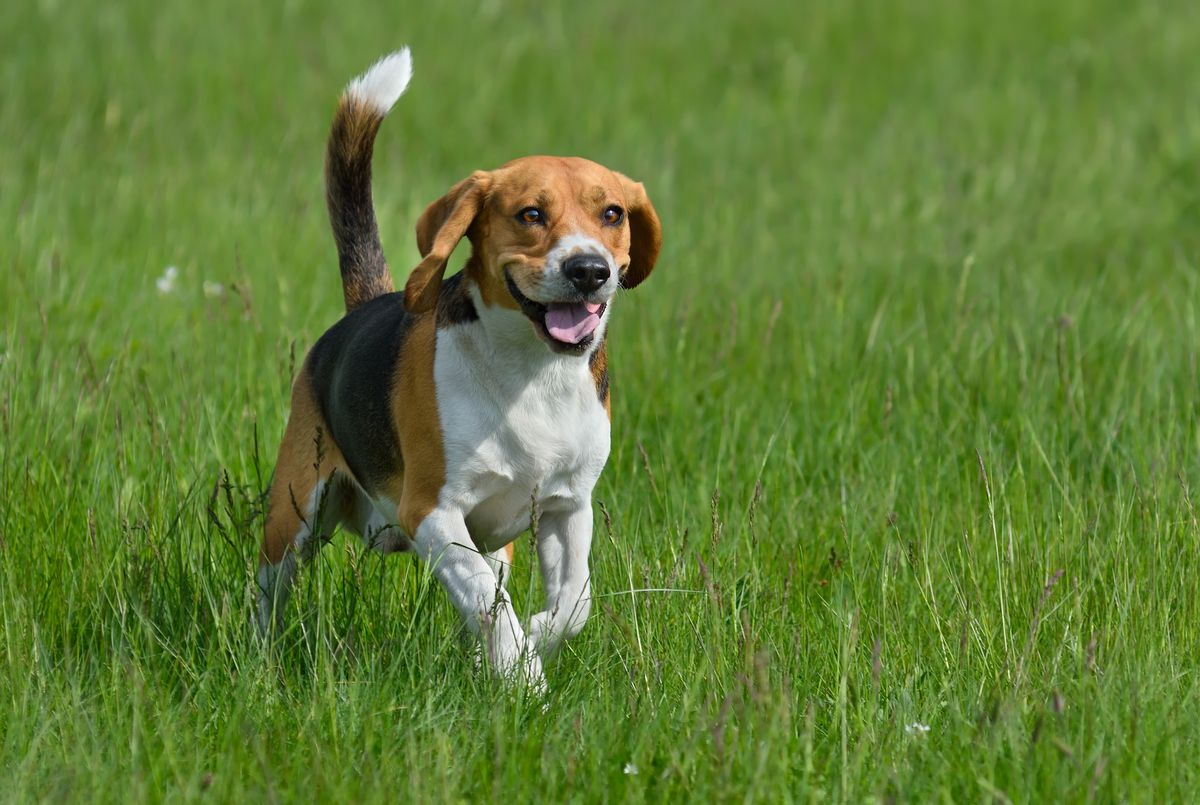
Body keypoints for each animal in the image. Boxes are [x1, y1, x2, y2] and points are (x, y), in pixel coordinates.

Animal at [255, 47, 667, 681]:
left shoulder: (569, 506)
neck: (534, 372)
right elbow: (486, 600)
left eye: (613, 213)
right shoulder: (433, 512)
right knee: (271, 596)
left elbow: (573, 601)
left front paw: (535, 640)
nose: (589, 269)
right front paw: (523, 672)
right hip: (293, 512)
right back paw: (259, 661)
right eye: (530, 214)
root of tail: (365, 305)